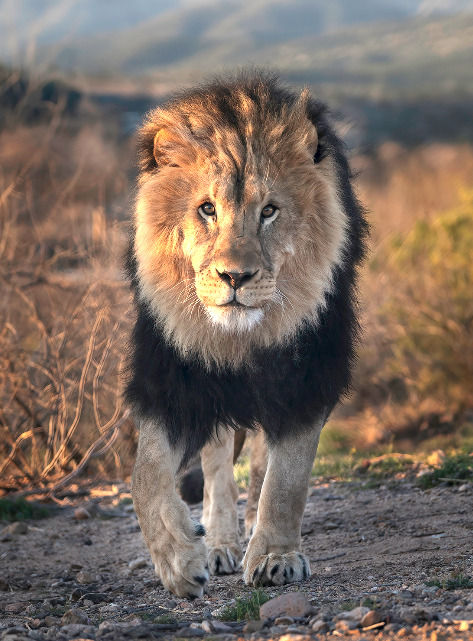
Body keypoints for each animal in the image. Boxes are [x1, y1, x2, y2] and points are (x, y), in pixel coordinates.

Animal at [125, 71, 367, 598]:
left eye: (270, 211)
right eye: (207, 209)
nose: (235, 277)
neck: (239, 339)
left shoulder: (305, 379)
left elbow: (285, 479)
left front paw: (276, 556)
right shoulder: (174, 380)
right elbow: (146, 475)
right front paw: (178, 560)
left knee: (258, 467)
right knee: (218, 470)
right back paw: (218, 546)